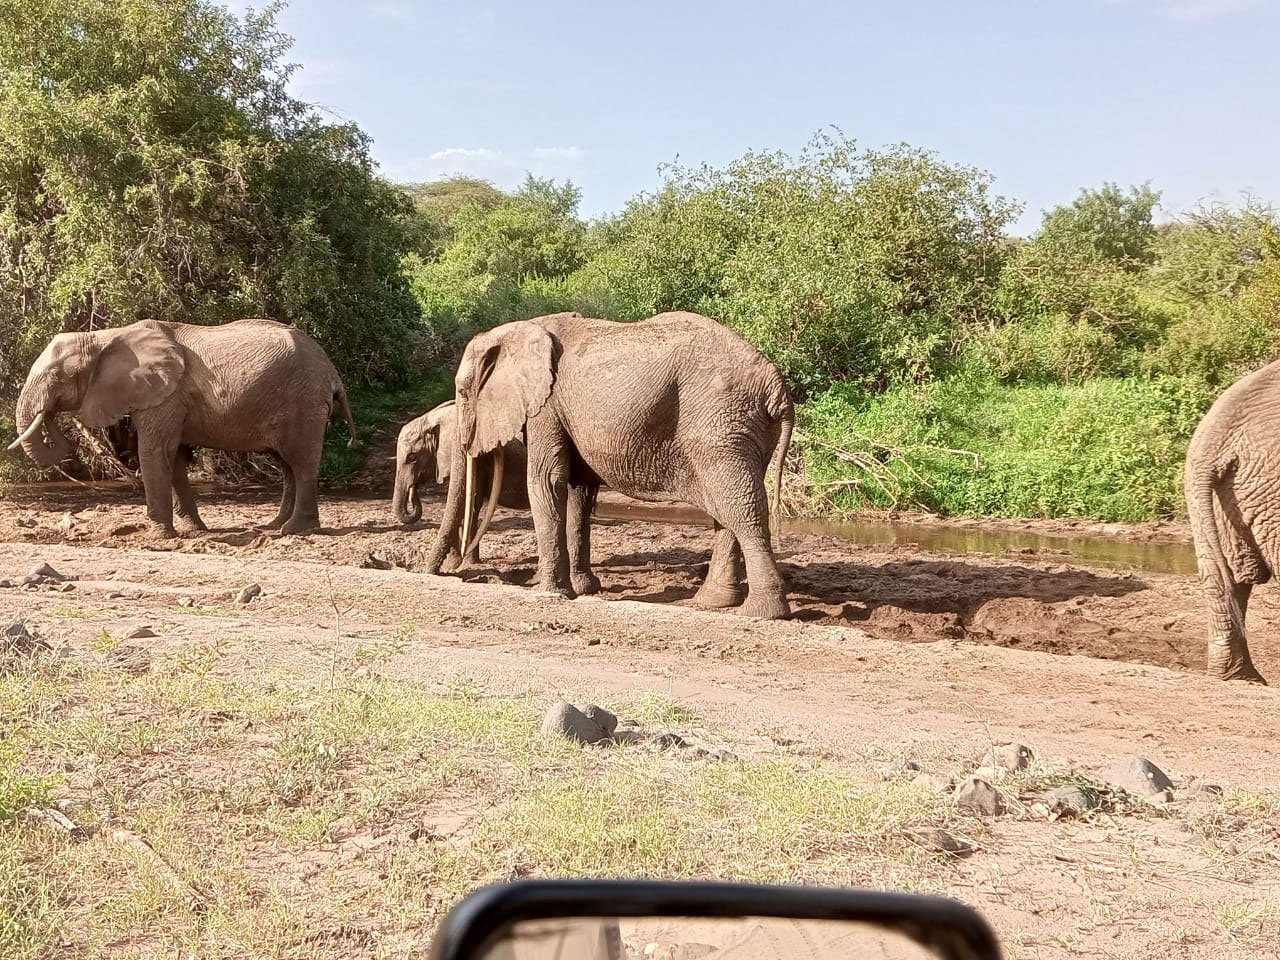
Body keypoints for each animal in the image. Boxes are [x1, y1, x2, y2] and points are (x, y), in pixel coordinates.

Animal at [12, 320, 358, 537]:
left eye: (56, 377)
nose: (48, 417)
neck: (104, 337)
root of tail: (333, 372)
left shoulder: (164, 395)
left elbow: (154, 452)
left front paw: (157, 536)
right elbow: (175, 457)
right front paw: (192, 531)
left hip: (303, 402)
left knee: (301, 462)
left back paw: (295, 530)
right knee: (286, 465)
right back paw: (272, 527)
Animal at [391, 399, 527, 570]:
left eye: (412, 457)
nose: (413, 490)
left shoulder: (477, 460)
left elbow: (468, 503)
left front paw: (460, 565)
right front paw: (455, 565)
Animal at [424, 312, 793, 619]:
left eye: (462, 391)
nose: (439, 572)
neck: (520, 328)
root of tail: (775, 384)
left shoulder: (547, 404)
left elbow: (546, 480)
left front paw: (550, 592)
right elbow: (579, 490)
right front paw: (583, 589)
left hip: (720, 424)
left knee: (740, 506)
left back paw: (761, 613)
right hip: (742, 430)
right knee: (726, 508)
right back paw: (713, 603)